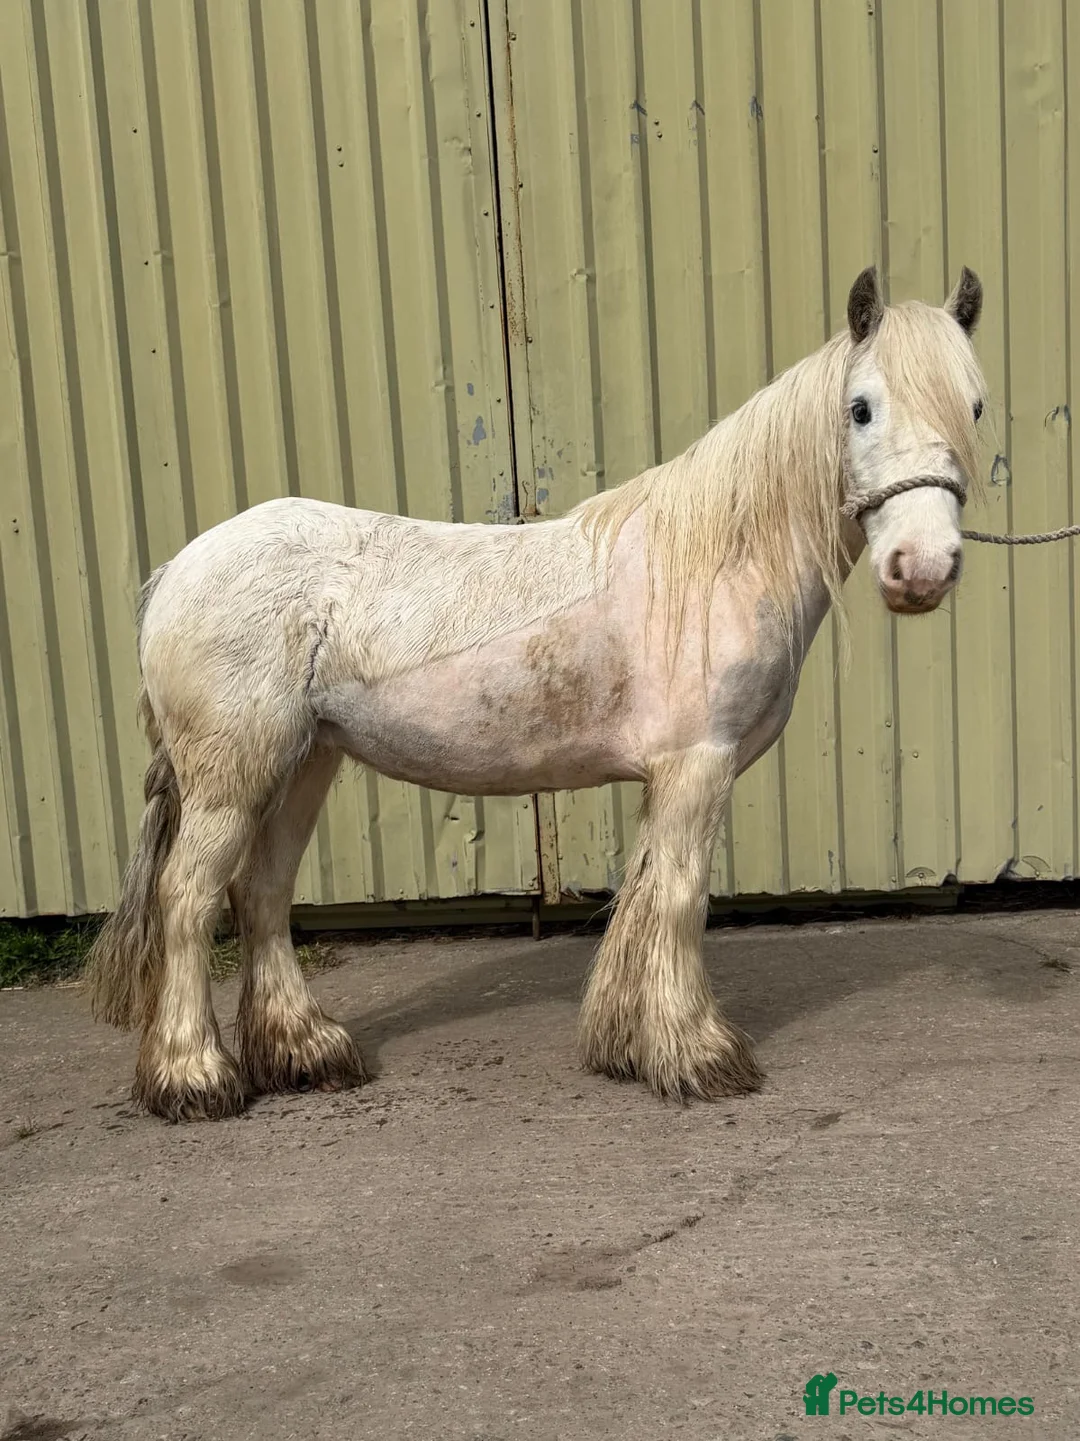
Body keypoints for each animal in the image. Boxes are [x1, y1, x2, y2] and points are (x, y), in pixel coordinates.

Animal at [86, 265, 987, 1122]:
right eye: (861, 409)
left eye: (975, 405)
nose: (922, 568)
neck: (715, 560)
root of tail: (176, 570)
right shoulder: (697, 765)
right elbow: (680, 899)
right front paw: (697, 1054)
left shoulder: (671, 775)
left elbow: (644, 894)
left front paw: (627, 1046)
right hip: (232, 776)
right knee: (188, 898)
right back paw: (194, 1076)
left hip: (306, 762)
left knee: (263, 892)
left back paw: (307, 1050)